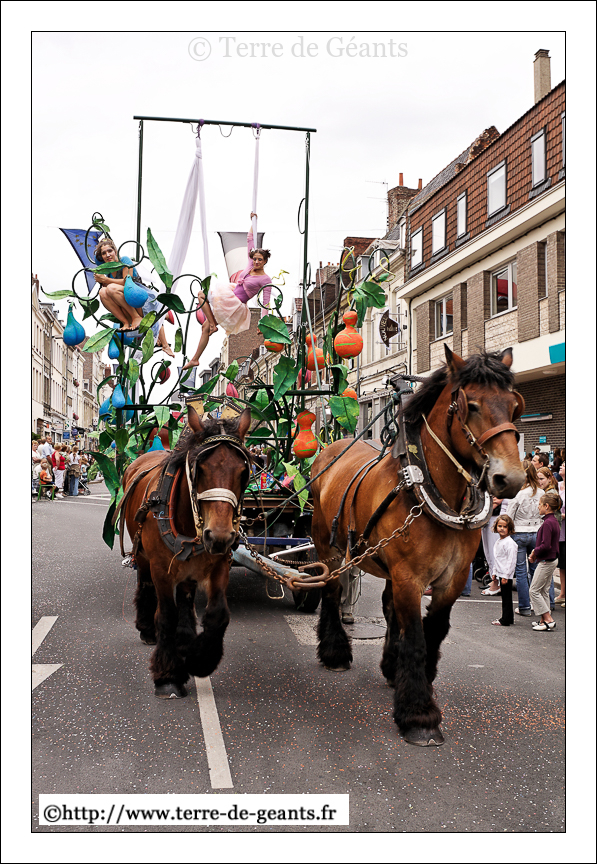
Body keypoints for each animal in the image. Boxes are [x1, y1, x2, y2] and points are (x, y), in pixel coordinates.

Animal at [120, 405, 252, 698]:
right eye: (200, 468)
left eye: (243, 472)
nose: (219, 536)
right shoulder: (161, 568)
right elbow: (166, 615)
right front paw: (168, 676)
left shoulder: (219, 564)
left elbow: (217, 613)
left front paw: (199, 659)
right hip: (144, 557)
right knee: (146, 586)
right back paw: (148, 630)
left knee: (185, 597)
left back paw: (185, 639)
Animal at [310, 347, 525, 746]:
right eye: (472, 405)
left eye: (513, 405)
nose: (512, 478)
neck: (430, 487)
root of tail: (329, 449)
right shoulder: (410, 577)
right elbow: (415, 636)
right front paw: (419, 716)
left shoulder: (451, 579)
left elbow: (433, 631)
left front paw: (412, 683)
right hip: (328, 547)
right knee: (331, 591)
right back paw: (335, 651)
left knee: (386, 605)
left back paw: (389, 665)